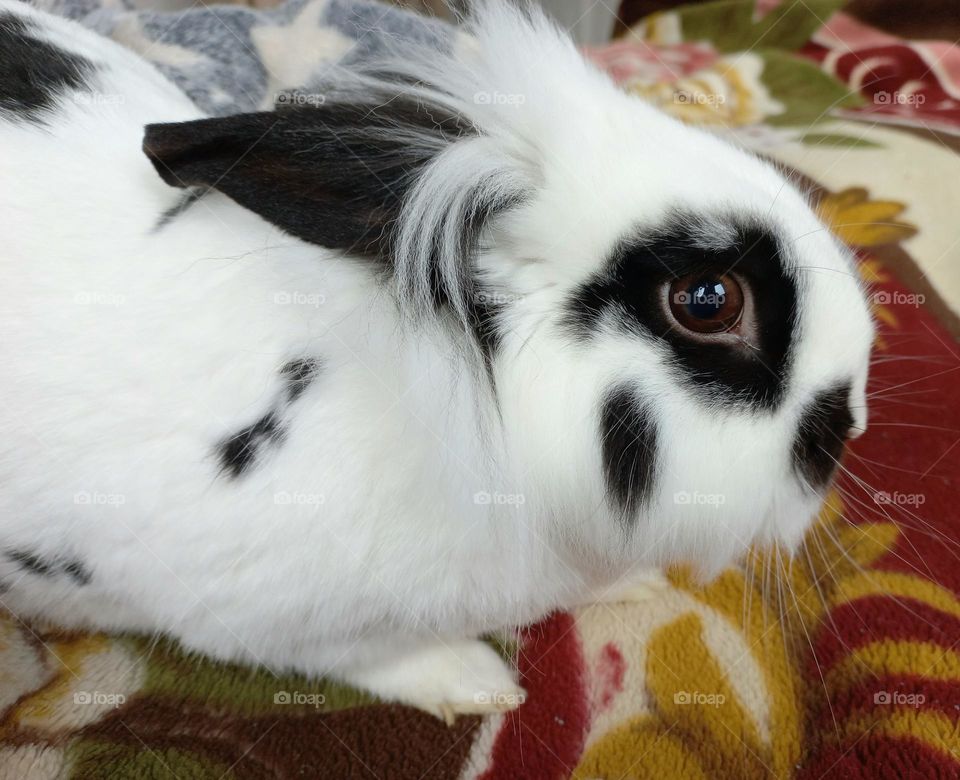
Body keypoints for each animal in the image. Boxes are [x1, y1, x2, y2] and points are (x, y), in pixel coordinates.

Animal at [0, 0, 873, 719]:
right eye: (707, 300)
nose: (850, 423)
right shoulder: (260, 618)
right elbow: (371, 658)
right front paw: (477, 685)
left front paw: (637, 582)